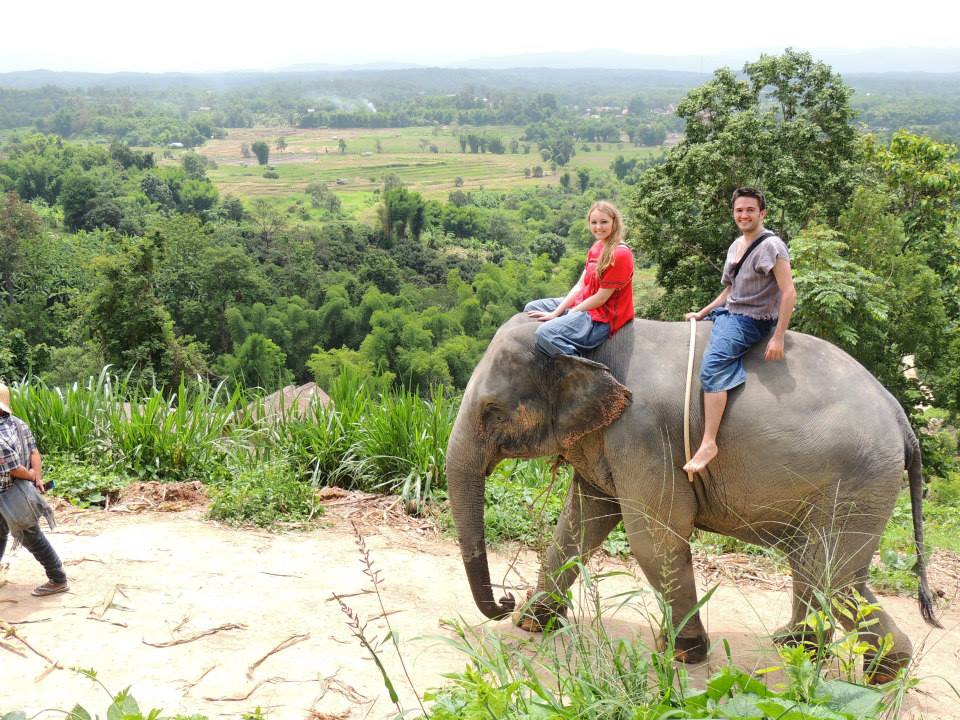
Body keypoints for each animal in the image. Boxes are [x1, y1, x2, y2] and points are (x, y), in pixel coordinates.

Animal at [446, 314, 940, 680]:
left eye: (492, 411)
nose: (505, 601)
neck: (594, 346)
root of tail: (900, 416)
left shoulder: (644, 432)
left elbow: (654, 535)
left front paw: (682, 653)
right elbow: (581, 523)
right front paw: (533, 623)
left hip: (858, 480)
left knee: (831, 573)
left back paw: (882, 672)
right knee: (815, 566)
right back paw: (796, 648)